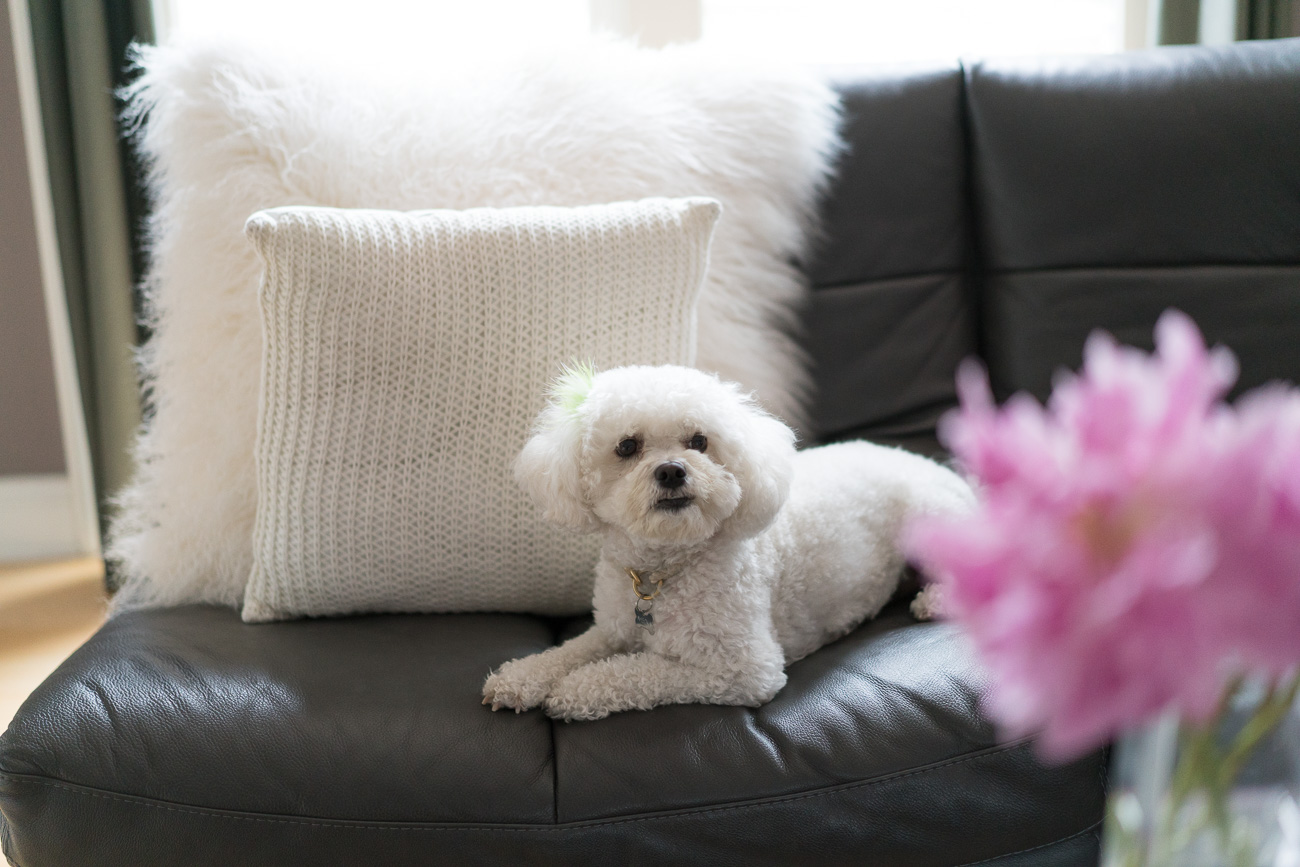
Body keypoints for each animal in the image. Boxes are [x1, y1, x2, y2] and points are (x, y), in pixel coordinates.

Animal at [483, 363, 972, 722]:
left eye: (699, 440)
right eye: (626, 446)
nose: (672, 471)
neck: (665, 569)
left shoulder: (744, 670)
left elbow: (639, 671)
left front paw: (573, 691)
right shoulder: (612, 629)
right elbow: (570, 651)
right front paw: (520, 677)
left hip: (931, 521)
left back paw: (935, 601)